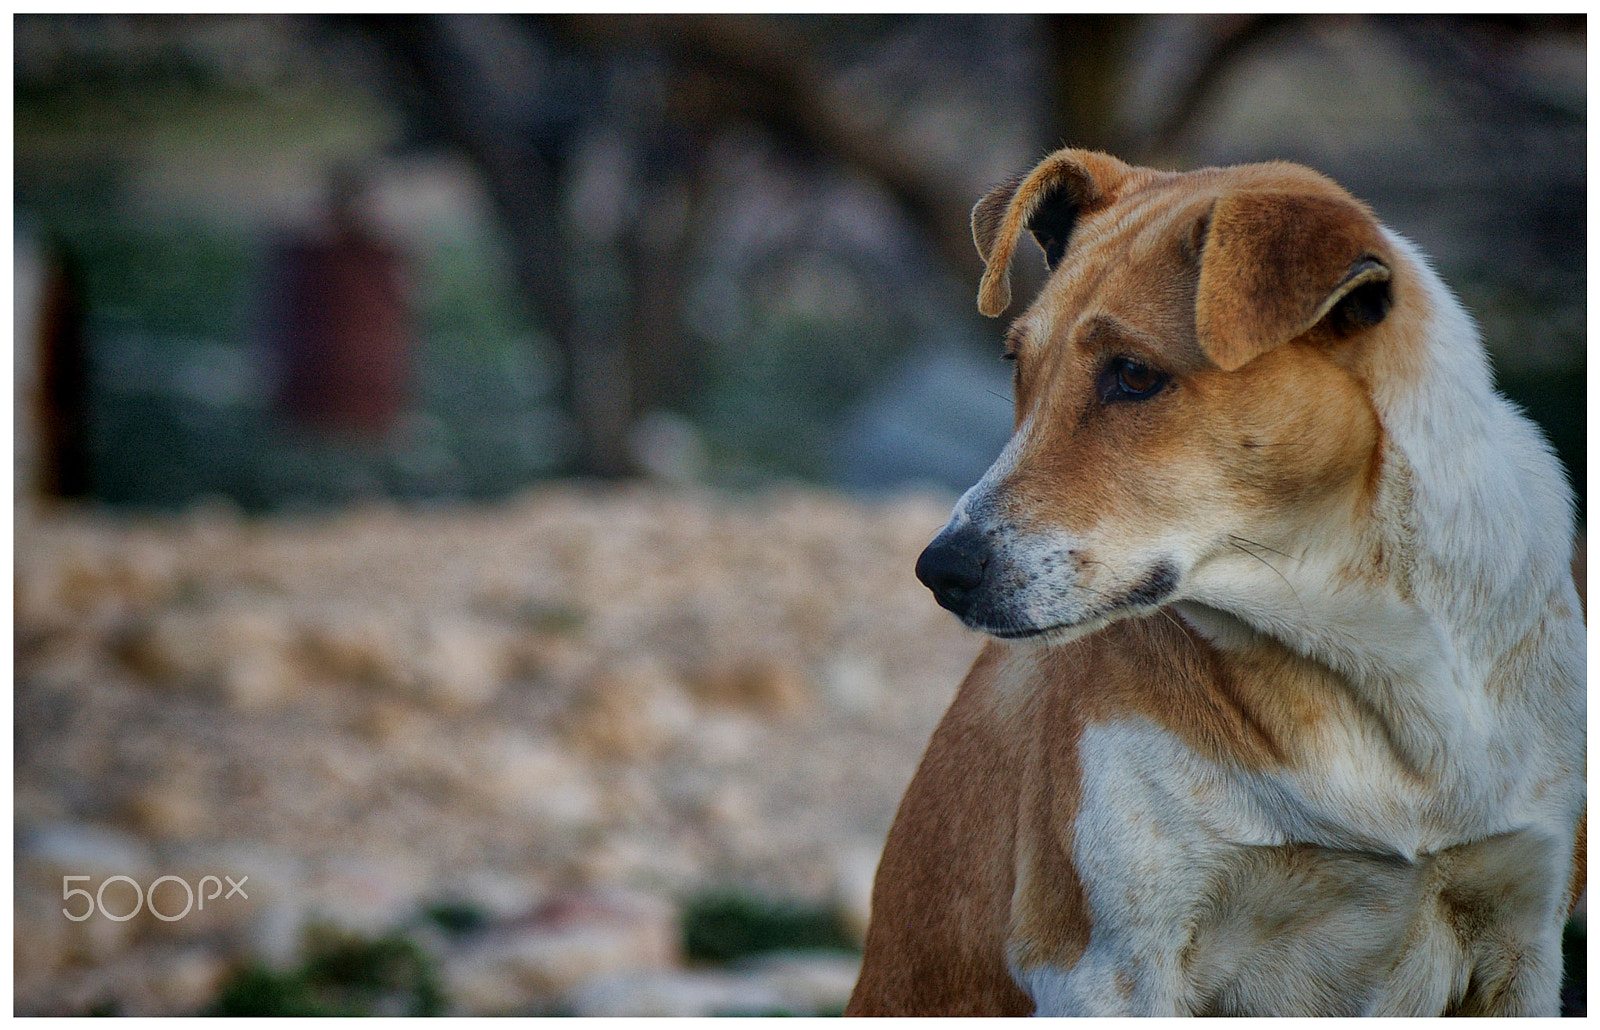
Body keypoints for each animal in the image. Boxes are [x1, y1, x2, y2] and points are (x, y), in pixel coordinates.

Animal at [851, 148, 1587, 1017]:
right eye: (1017, 367)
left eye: (1134, 376)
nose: (941, 570)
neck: (1372, 669)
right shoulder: (1111, 969)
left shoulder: (1524, 936)